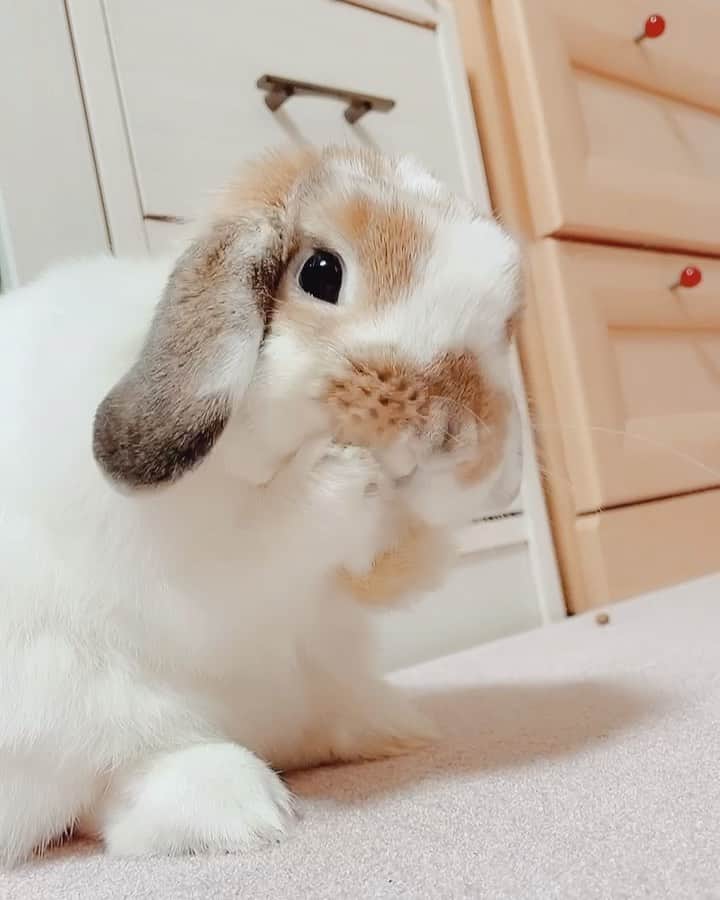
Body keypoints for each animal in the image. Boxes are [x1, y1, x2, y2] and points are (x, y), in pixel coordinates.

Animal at [0, 144, 523, 864]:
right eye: (320, 272)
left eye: (503, 326)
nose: (447, 432)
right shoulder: (203, 560)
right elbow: (269, 536)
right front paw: (348, 473)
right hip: (73, 704)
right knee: (116, 784)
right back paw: (239, 809)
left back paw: (388, 725)